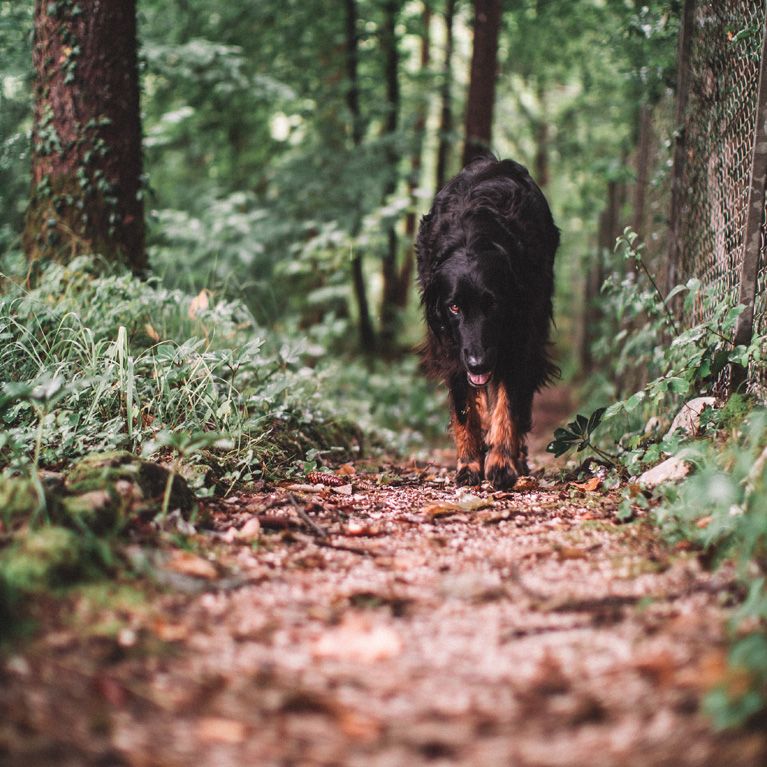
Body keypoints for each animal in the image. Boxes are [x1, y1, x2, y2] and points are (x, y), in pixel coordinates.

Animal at [416, 155, 560, 488]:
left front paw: (501, 462)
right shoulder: (451, 348)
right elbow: (464, 408)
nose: (478, 363)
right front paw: (469, 463)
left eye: (492, 304)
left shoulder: (520, 340)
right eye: (454, 307)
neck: (473, 236)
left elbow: (508, 405)